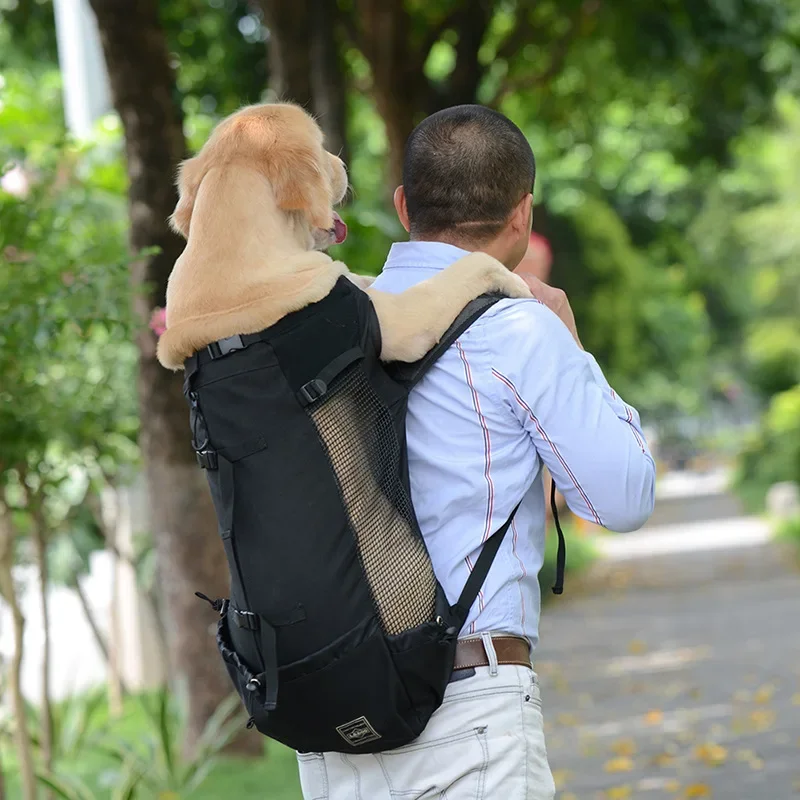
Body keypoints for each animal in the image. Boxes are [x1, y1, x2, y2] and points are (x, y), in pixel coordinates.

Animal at [156, 101, 532, 372]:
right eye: (321, 147)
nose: (342, 163)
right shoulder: (400, 323)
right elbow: (466, 269)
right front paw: (516, 281)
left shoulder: (339, 276)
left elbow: (361, 277)